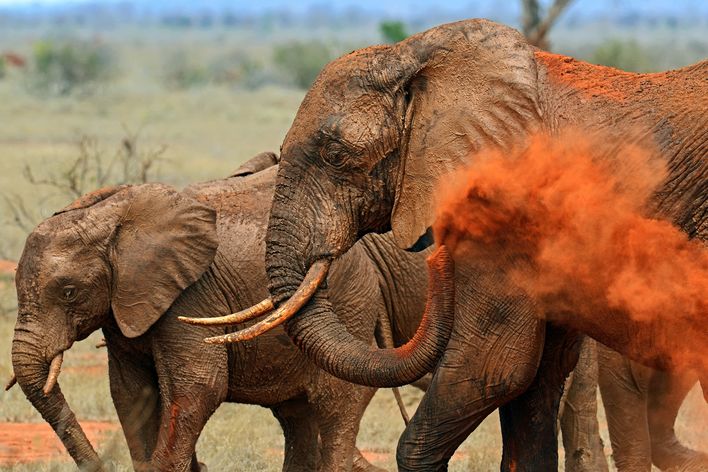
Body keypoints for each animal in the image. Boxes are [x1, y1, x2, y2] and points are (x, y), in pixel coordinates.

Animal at [6, 153, 454, 470]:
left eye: (68, 292)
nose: (98, 464)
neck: (109, 218)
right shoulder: (124, 309)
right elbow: (131, 394)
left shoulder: (190, 296)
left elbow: (199, 387)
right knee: (298, 418)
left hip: (350, 302)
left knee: (334, 408)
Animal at [191, 19, 704, 472]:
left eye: (336, 156)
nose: (433, 252)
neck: (417, 57)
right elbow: (533, 384)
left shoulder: (503, 211)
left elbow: (494, 367)